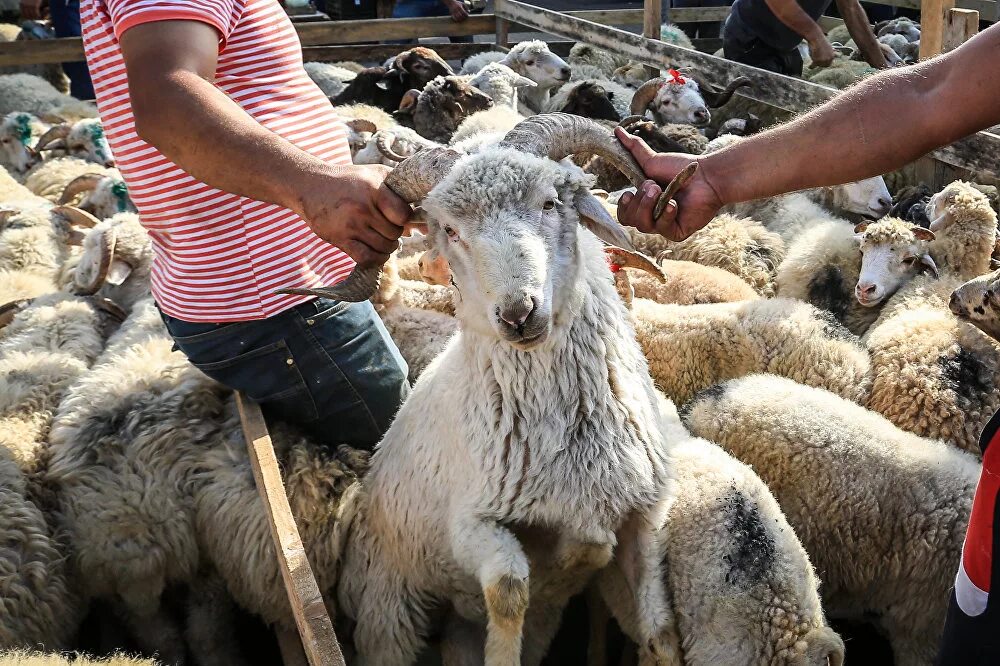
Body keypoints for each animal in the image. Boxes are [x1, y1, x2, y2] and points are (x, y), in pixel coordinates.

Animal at [300, 114, 684, 664]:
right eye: (449, 231)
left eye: (550, 203)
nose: (518, 314)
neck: (570, 433)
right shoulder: (472, 527)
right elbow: (508, 591)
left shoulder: (644, 519)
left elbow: (660, 634)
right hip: (388, 608)